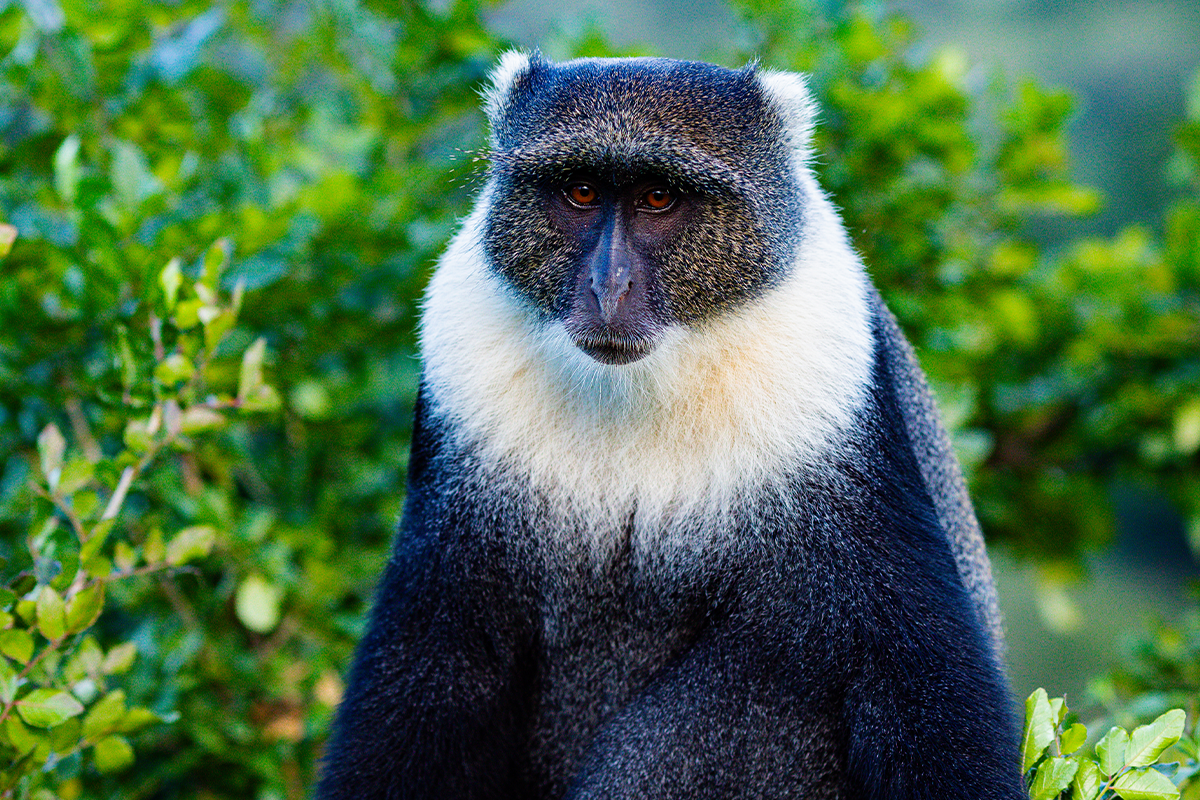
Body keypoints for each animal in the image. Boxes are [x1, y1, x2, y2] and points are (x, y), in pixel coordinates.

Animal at [316, 53, 1025, 799]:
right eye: (580, 191)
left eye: (659, 197)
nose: (608, 288)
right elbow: (434, 655)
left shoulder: (835, 401)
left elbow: (915, 668)